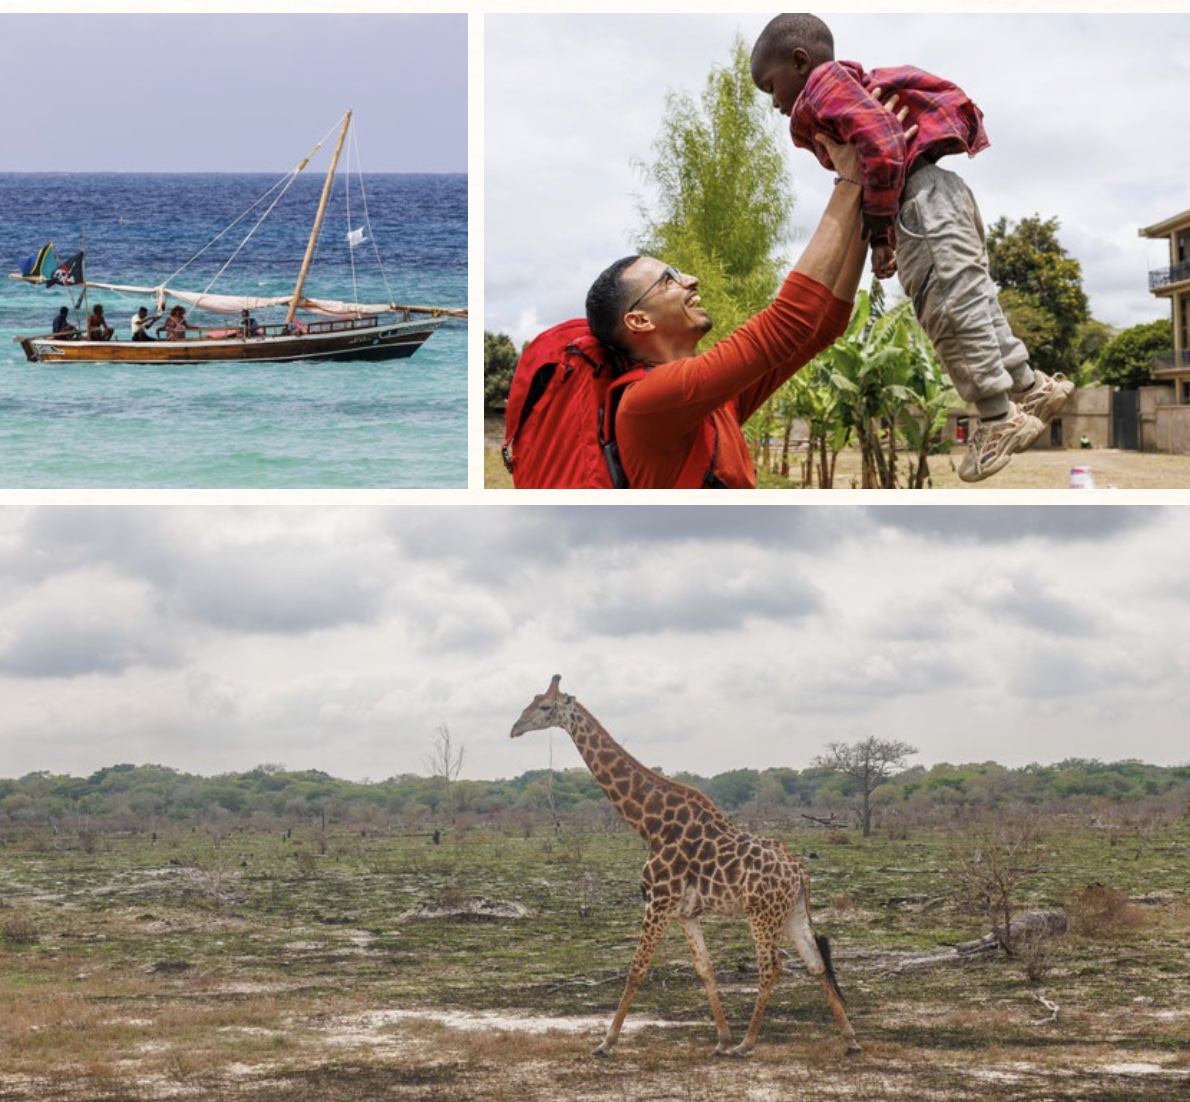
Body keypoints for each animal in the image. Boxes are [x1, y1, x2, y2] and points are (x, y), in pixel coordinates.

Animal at [506, 671, 861, 1061]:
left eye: (545, 706)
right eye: (532, 701)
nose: (515, 728)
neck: (650, 825)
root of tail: (800, 871)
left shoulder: (658, 901)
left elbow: (637, 969)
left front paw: (606, 1042)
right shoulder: (685, 912)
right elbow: (705, 969)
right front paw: (721, 1039)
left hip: (762, 914)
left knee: (772, 968)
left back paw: (748, 1042)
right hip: (791, 912)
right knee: (816, 963)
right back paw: (850, 1038)